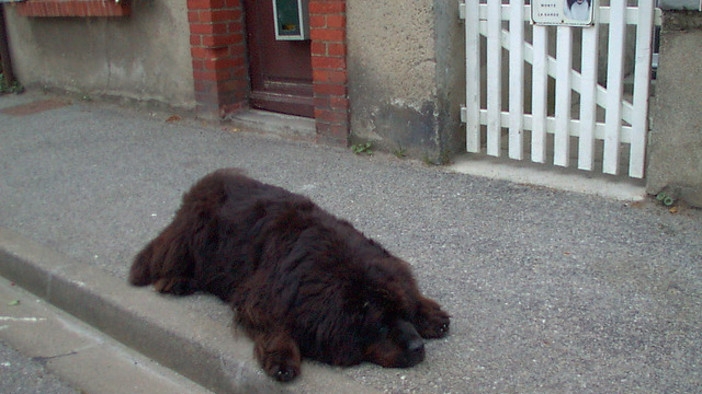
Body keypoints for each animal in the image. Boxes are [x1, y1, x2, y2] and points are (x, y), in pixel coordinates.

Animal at [129, 169, 452, 382]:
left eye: (403, 314)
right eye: (380, 324)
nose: (418, 347)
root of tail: (205, 184)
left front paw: (428, 313)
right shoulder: (258, 298)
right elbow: (275, 327)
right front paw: (282, 359)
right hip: (190, 235)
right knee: (162, 259)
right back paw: (174, 281)